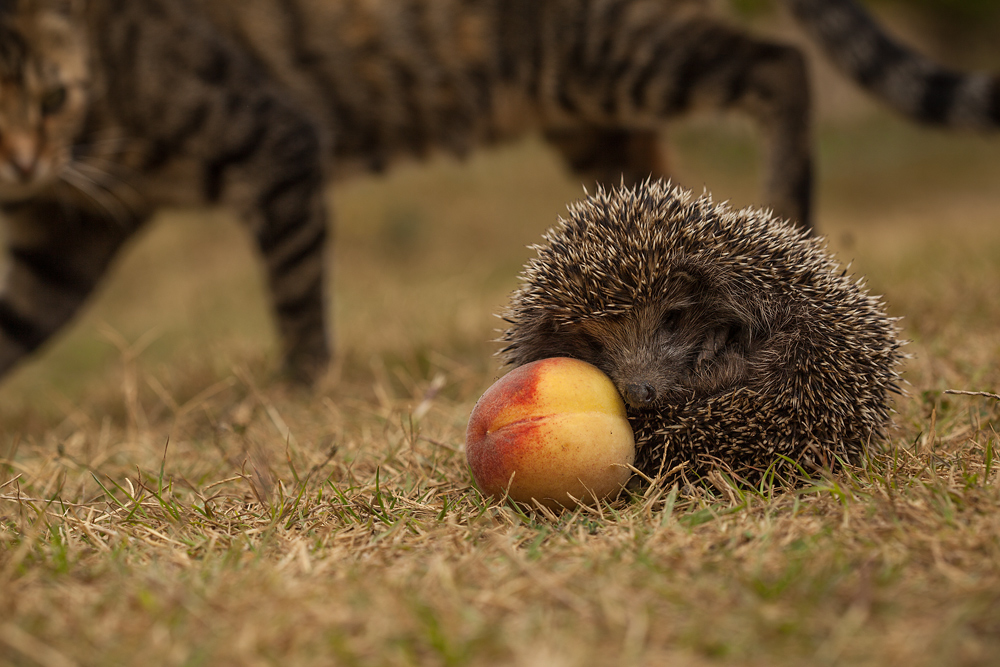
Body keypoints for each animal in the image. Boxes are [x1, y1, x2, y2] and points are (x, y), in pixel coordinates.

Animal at [0, 0, 996, 384]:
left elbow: (296, 302)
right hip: (592, 112)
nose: (21, 161)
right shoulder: (68, 230)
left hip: (608, 51)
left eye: (48, 98)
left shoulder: (276, 141)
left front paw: (299, 393)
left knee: (777, 64)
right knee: (660, 194)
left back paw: (791, 219)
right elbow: (17, 321)